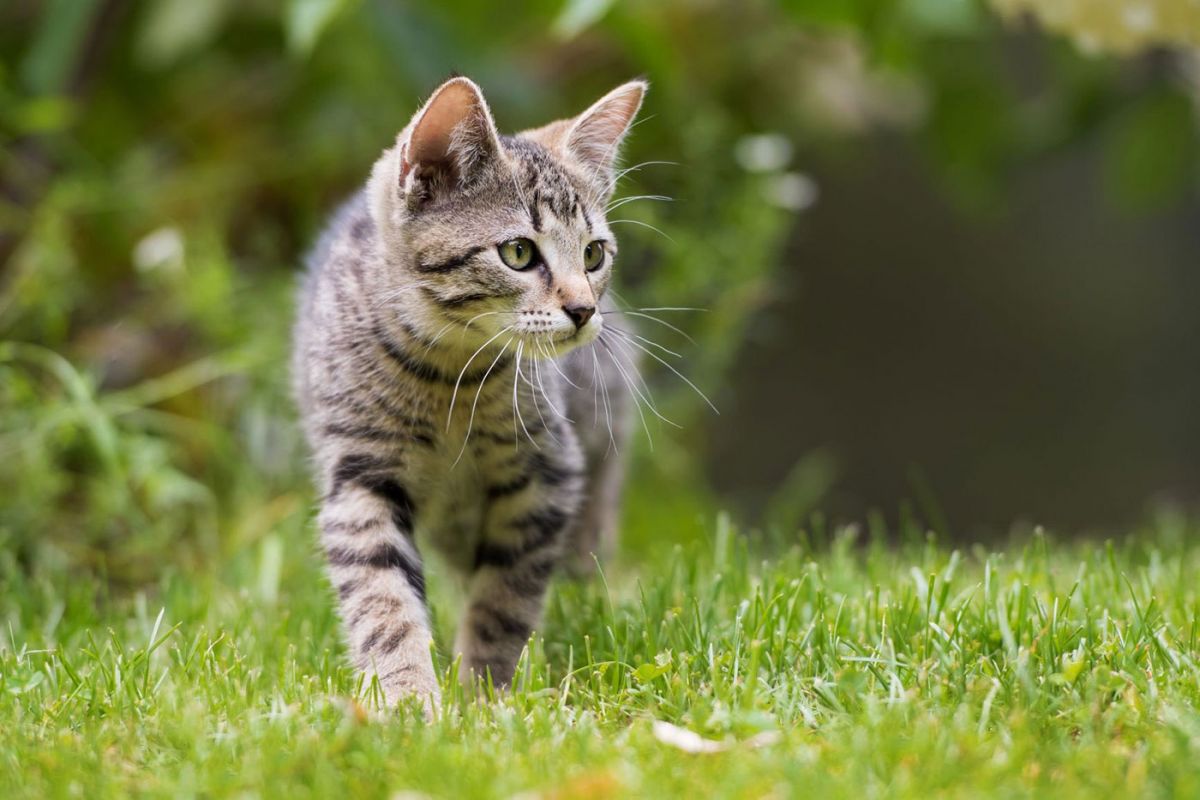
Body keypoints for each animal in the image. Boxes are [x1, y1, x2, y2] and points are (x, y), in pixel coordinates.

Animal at [292, 77, 648, 710]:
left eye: (593, 254)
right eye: (518, 253)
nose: (585, 310)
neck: (449, 378)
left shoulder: (547, 475)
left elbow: (504, 598)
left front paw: (486, 694)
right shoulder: (359, 478)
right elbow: (382, 599)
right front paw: (409, 701)